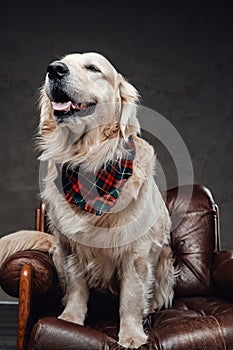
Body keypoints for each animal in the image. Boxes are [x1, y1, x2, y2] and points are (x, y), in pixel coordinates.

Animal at [38, 52, 176, 348]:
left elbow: (131, 298)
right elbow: (77, 287)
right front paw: (70, 320)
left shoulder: (136, 252)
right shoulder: (69, 246)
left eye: (93, 68)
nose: (54, 69)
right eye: (62, 62)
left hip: (164, 260)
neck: (88, 161)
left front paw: (132, 335)